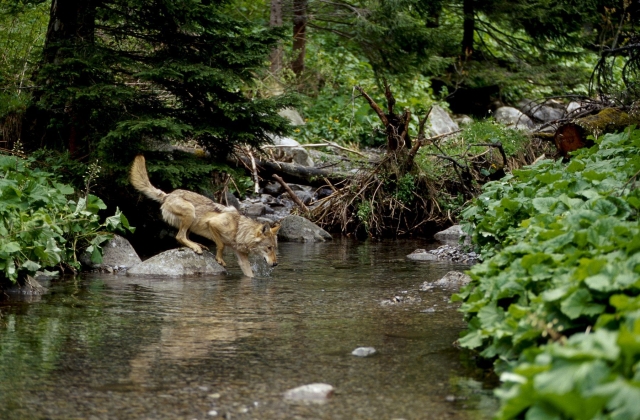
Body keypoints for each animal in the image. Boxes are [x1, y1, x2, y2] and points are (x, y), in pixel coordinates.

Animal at [129, 154, 278, 276]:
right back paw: (196, 247)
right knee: (180, 236)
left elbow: (249, 275)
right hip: (190, 212)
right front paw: (219, 259)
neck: (239, 230)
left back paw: (197, 244)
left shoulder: (242, 259)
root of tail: (167, 195)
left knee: (183, 238)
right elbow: (221, 245)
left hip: (191, 222)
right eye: (269, 248)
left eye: (274, 248)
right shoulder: (213, 223)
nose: (276, 264)